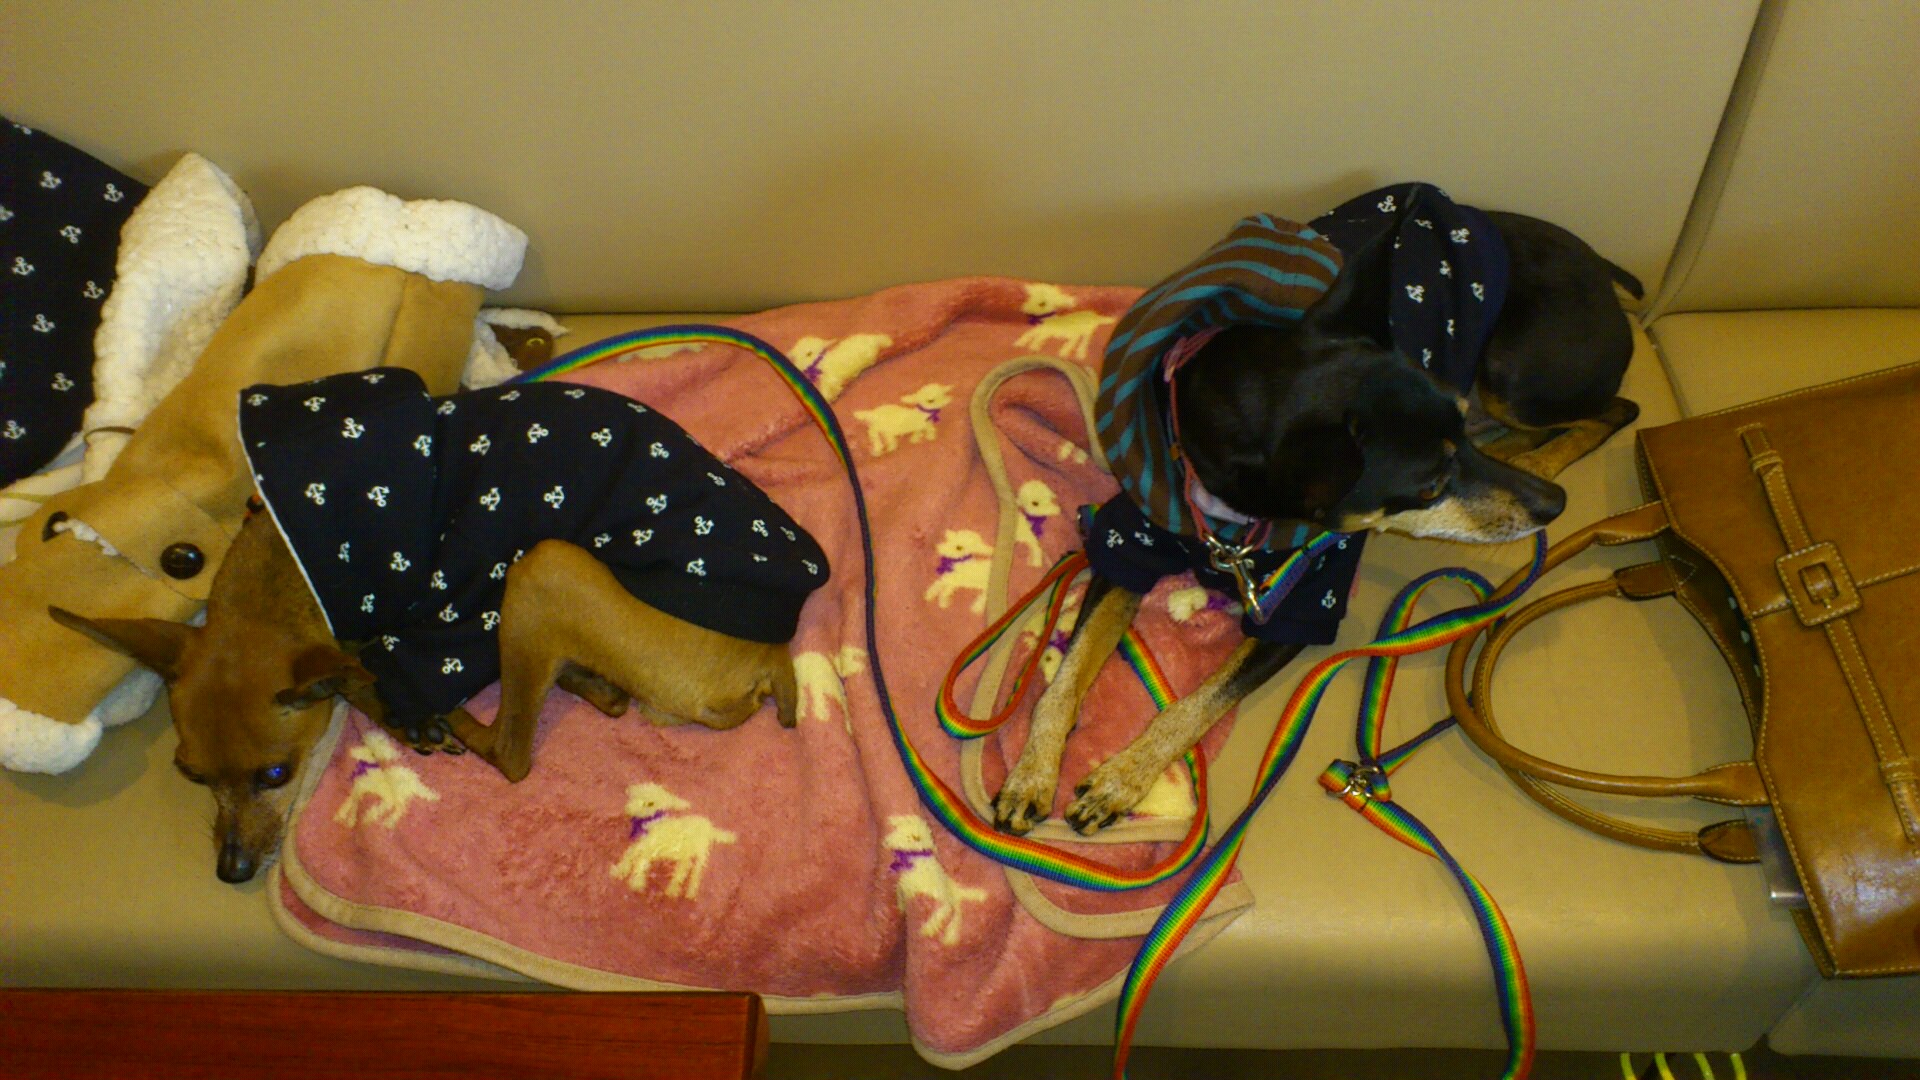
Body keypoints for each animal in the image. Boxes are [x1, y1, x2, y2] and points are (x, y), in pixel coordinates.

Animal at [53, 369, 826, 882]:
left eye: (276, 773)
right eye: (190, 774)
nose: (233, 871)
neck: (292, 560)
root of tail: (774, 656)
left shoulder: (456, 616)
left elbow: (374, 672)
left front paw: (400, 709)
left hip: (542, 568)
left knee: (512, 752)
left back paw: (461, 721)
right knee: (594, 698)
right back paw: (585, 683)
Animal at [993, 183, 1643, 836]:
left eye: (1451, 434)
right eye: (1430, 485)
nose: (1557, 507)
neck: (1227, 517)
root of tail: (1602, 268)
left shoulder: (1302, 604)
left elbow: (1196, 705)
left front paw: (1120, 779)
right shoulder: (1129, 540)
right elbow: (1064, 678)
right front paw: (1030, 774)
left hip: (1513, 381)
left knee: (1619, 410)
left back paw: (1542, 458)